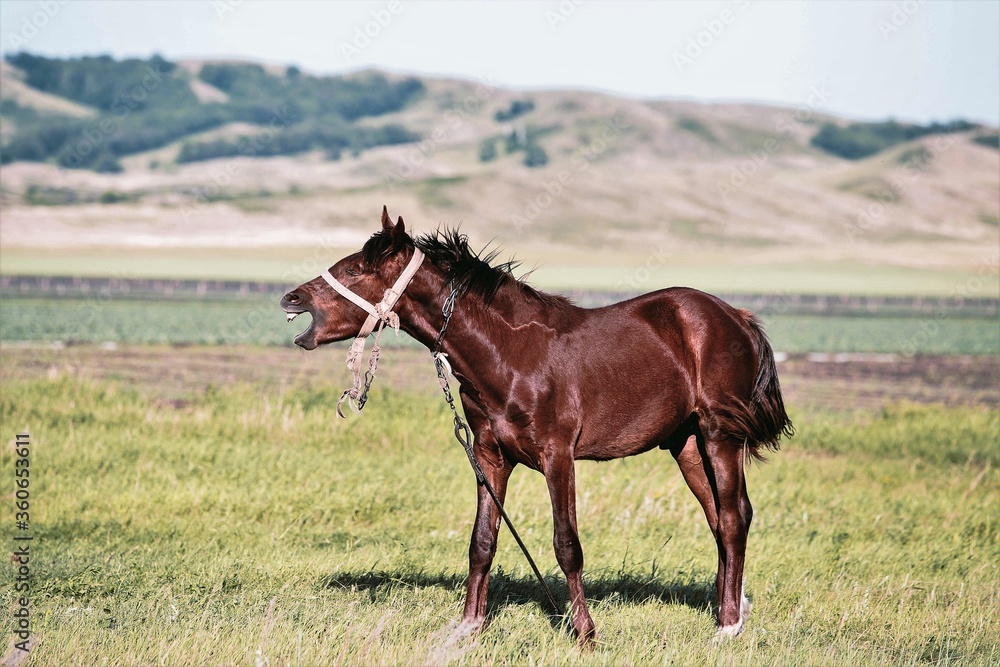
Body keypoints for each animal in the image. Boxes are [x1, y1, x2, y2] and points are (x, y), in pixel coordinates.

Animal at [280, 209, 788, 648]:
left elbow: (567, 545)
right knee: (720, 519)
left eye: (354, 270)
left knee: (734, 517)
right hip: (685, 444)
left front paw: (585, 632)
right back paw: (731, 608)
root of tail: (736, 317)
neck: (509, 354)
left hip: (720, 436)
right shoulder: (490, 457)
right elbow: (482, 542)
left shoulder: (557, 457)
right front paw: (468, 627)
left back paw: (727, 626)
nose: (291, 298)